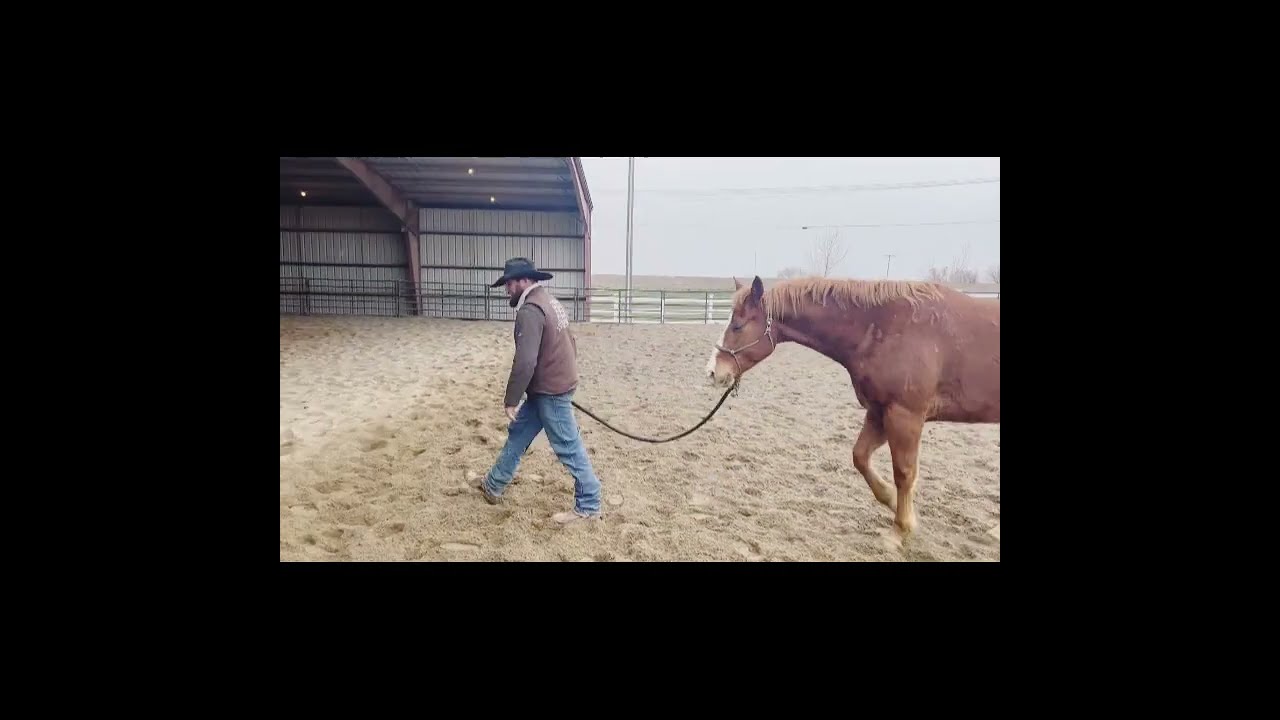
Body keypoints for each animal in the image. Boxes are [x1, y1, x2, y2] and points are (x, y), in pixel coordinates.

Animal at [705, 275, 999, 535]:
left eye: (738, 326)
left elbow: (904, 472)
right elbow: (860, 457)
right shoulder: (879, 412)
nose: (713, 371)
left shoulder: (905, 416)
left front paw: (903, 527)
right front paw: (891, 500)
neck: (888, 326)